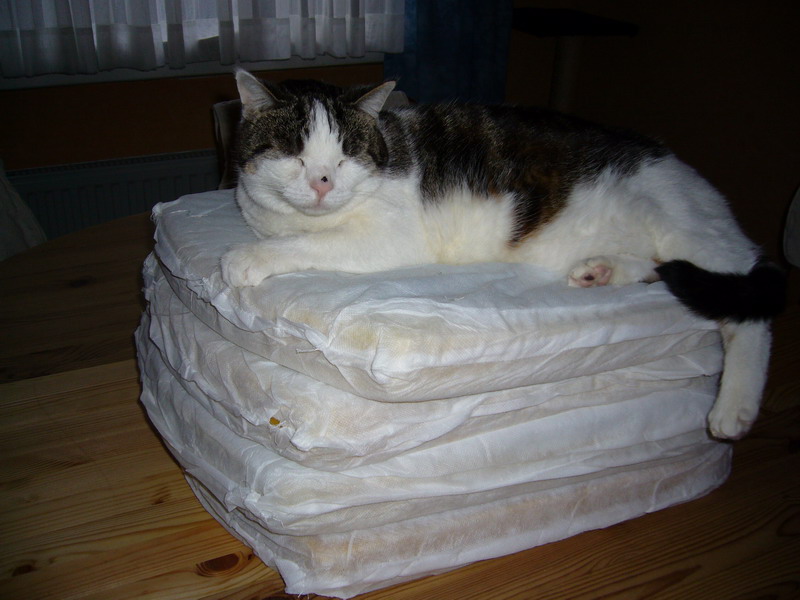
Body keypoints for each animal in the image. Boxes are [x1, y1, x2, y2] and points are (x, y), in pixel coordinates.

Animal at [221, 68, 785, 440]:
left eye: (345, 156)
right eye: (295, 155)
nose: (322, 182)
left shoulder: (390, 235)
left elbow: (305, 243)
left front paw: (249, 257)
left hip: (684, 228)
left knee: (750, 307)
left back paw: (734, 407)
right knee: (661, 271)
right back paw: (602, 270)